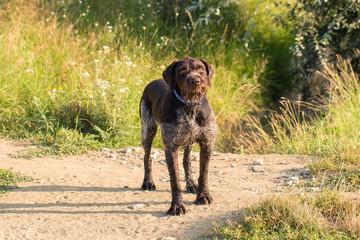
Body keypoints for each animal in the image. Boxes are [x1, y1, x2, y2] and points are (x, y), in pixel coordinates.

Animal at [139, 56, 215, 216]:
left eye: (200, 69)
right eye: (182, 71)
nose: (195, 81)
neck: (190, 106)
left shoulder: (207, 143)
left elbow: (203, 174)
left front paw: (203, 195)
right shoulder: (171, 148)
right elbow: (175, 181)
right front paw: (177, 205)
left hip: (189, 141)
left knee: (186, 160)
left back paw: (191, 183)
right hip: (148, 130)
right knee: (147, 157)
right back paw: (148, 181)